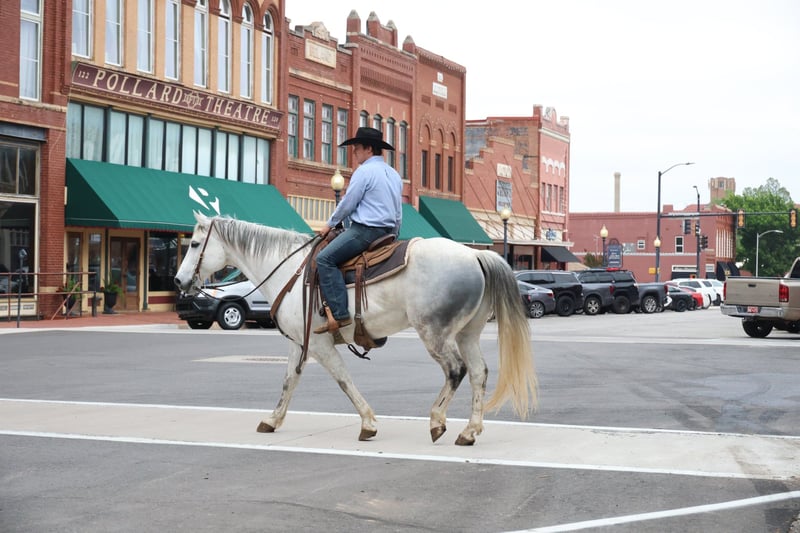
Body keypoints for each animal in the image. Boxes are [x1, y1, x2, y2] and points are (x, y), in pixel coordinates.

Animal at [174, 213, 537, 446]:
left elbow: (343, 379)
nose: (178, 281)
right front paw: (272, 420)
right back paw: (469, 431)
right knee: (478, 373)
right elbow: (289, 381)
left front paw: (368, 423)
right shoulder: (299, 343)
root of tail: (475, 256)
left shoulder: (319, 345)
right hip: (467, 334)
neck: (290, 272)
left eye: (193, 244)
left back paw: (437, 422)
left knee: (455, 370)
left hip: (435, 332)